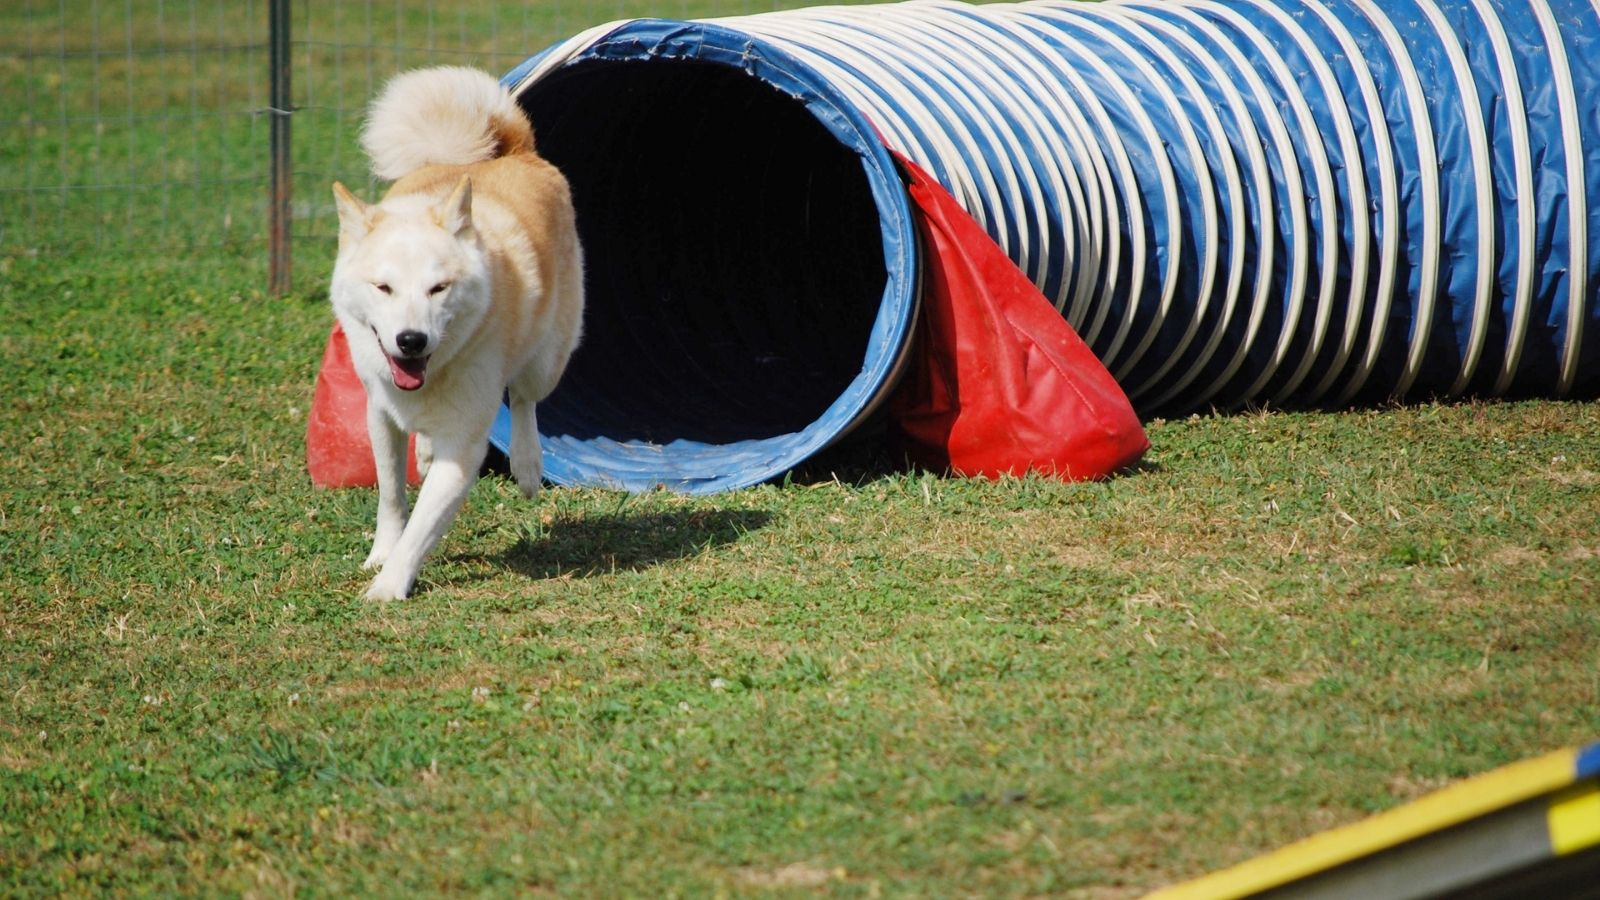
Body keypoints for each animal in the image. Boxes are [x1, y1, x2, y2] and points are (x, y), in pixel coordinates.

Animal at [329, 66, 582, 598]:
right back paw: (425, 451)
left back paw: (528, 466)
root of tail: (515, 151)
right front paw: (379, 555)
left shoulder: (465, 446)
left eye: (438, 288)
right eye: (383, 287)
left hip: (548, 357)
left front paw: (388, 586)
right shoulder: (379, 413)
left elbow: (422, 526)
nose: (411, 341)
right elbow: (392, 496)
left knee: (525, 398)